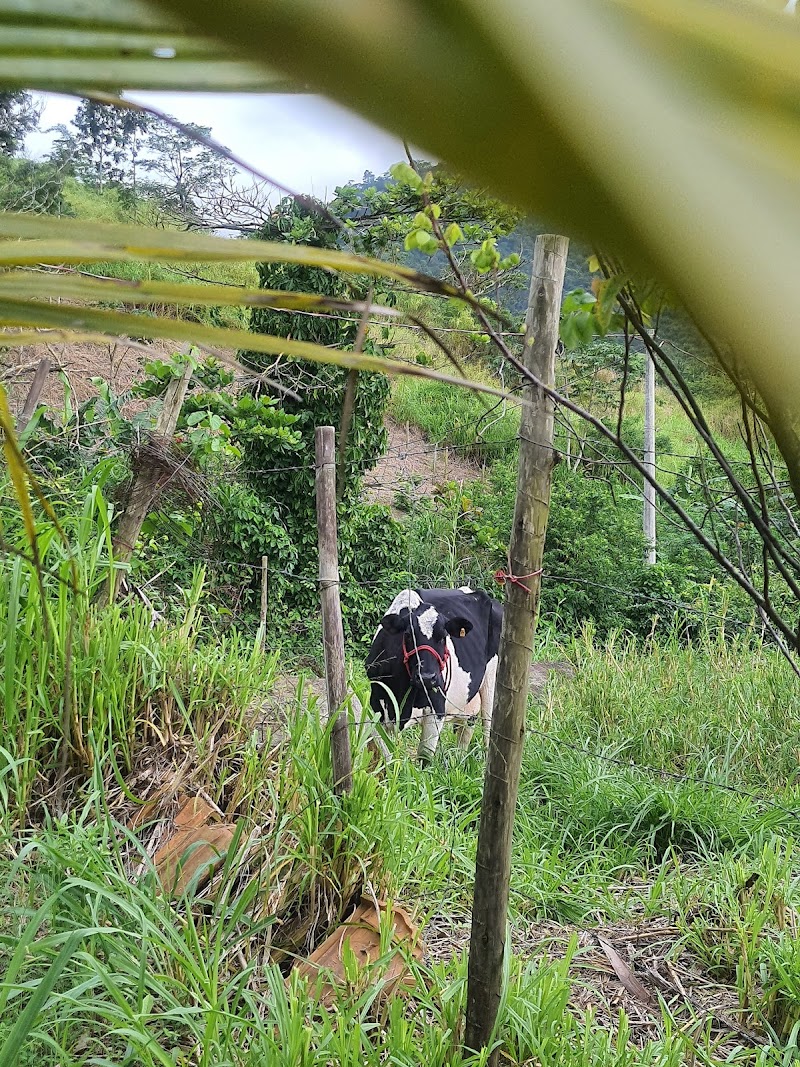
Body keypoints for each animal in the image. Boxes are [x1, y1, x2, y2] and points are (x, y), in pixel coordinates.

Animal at [366, 586, 503, 761]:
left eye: (444, 636)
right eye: (408, 635)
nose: (427, 678)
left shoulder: (436, 710)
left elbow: (424, 760)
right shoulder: (377, 709)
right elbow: (386, 756)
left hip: (491, 682)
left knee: (487, 725)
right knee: (466, 729)